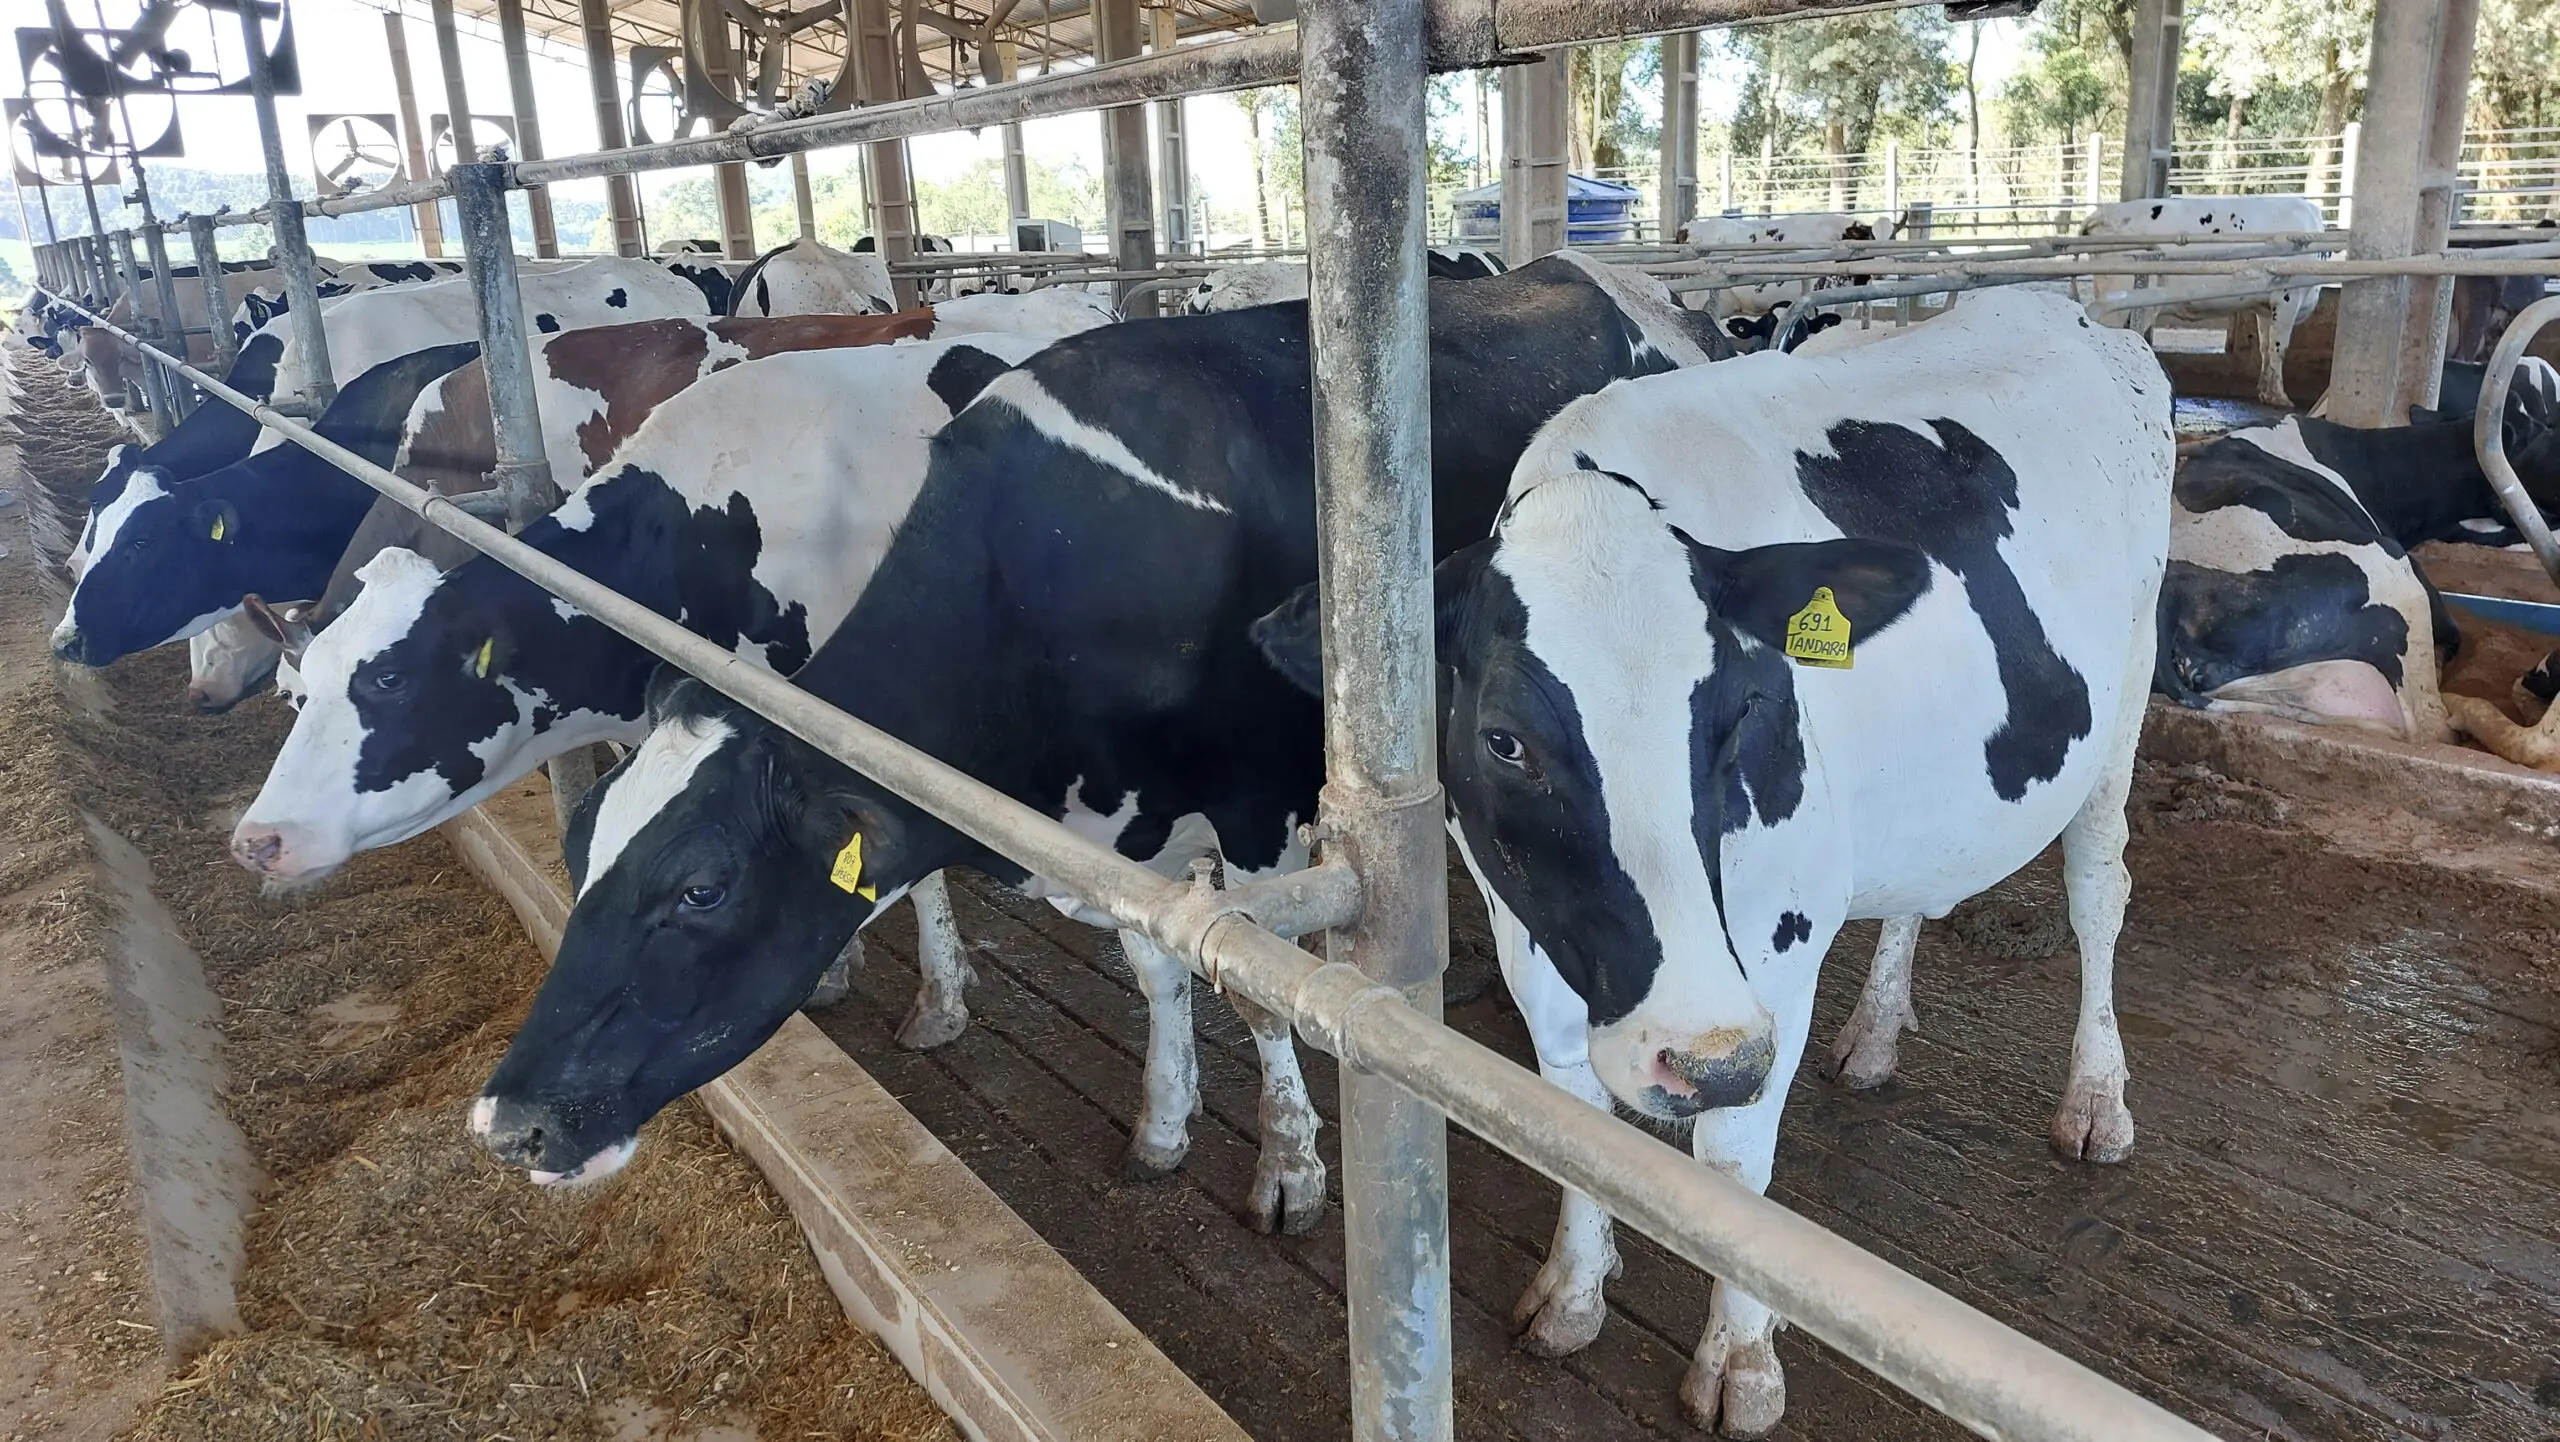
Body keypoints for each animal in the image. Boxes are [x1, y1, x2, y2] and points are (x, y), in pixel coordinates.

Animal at [460, 255, 1730, 1238]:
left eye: (701, 887)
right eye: (581, 848)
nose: (509, 1121)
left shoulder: (1260, 799)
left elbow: (1262, 996)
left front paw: (1289, 1167)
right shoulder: (1121, 832)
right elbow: (1153, 966)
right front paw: (1165, 1122)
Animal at [1253, 288, 2170, 1433]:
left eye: (1746, 709)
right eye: (1506, 741)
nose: (1702, 1059)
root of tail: (2064, 305)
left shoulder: (1774, 949)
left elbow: (1732, 1161)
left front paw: (1740, 1360)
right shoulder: (1528, 933)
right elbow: (1568, 1110)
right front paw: (1573, 1289)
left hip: (2123, 710)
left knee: (2100, 893)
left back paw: (2097, 1098)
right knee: (1917, 890)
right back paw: (1875, 1035)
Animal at [2080, 195, 2328, 408]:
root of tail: (2105, 212)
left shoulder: (2266, 306)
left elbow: (2265, 348)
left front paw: (2265, 391)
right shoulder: (2288, 296)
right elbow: (2280, 348)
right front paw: (2280, 396)